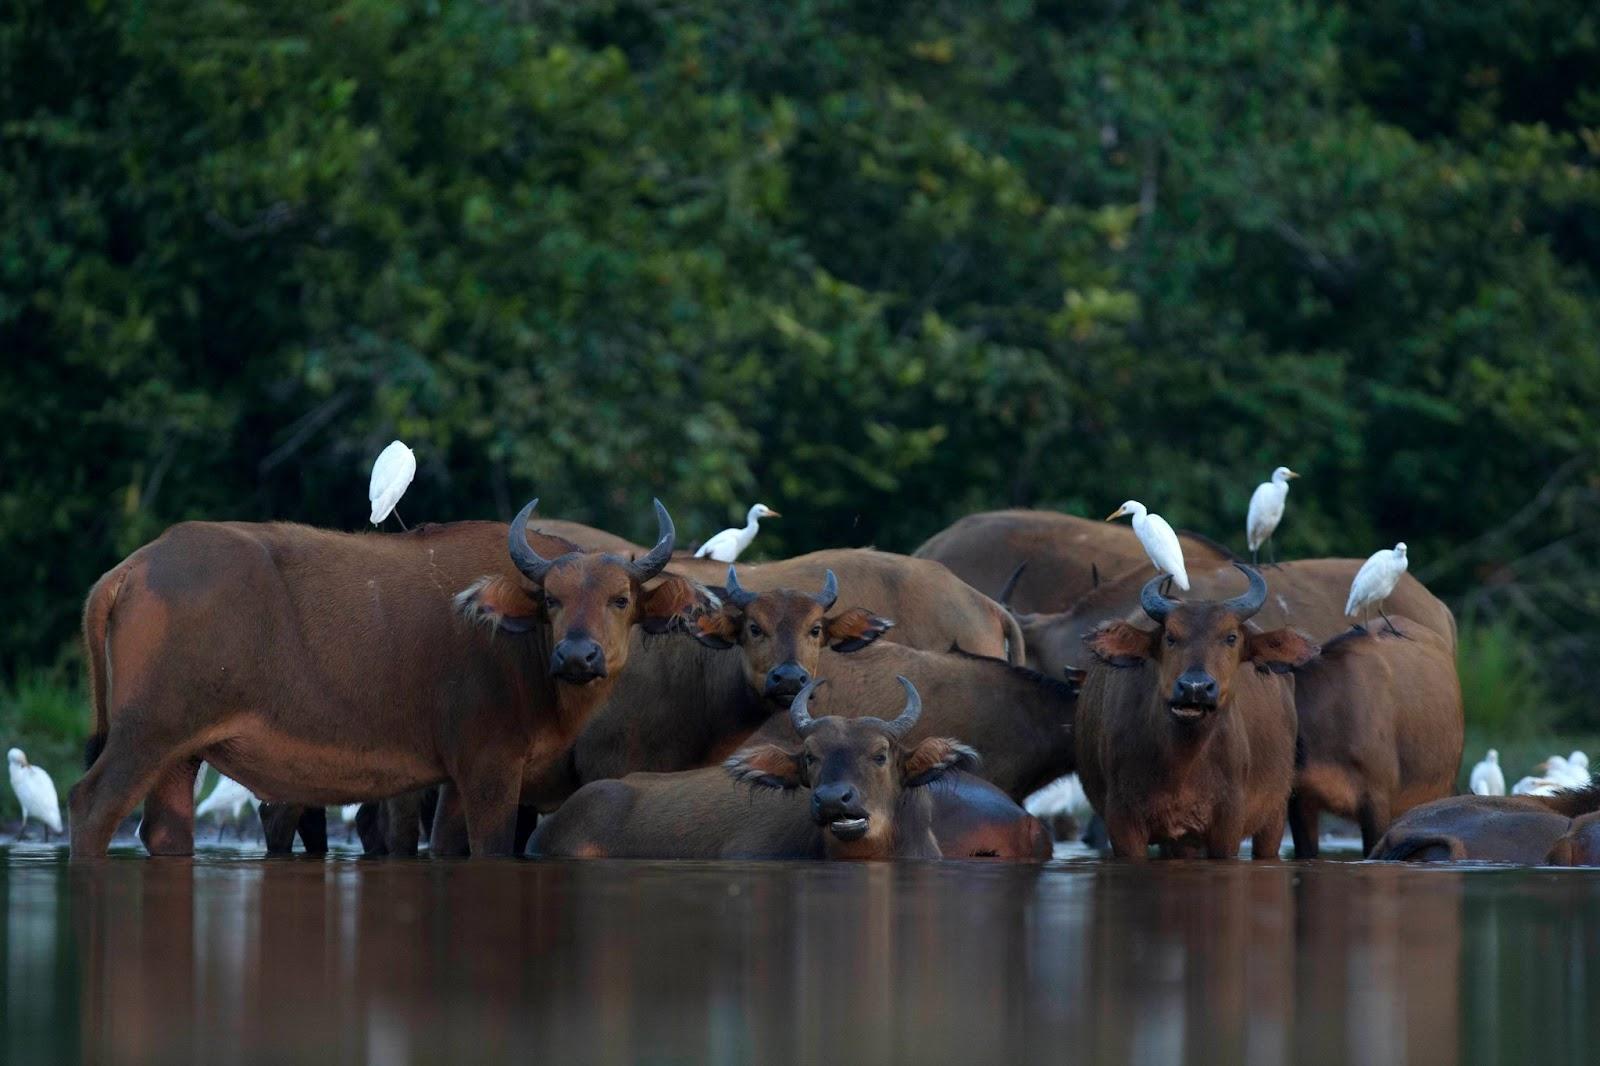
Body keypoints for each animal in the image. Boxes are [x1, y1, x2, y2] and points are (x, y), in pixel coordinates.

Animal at [68, 499, 707, 857]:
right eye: (551, 598)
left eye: (621, 599)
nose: (578, 657)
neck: (520, 645)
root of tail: (133, 568)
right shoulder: (491, 764)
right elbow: (492, 848)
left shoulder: (456, 776)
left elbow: (447, 847)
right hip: (146, 733)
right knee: (90, 805)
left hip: (181, 752)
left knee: (164, 832)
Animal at [1068, 563, 1318, 857]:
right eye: (1170, 637)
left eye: (1231, 637)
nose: (1194, 687)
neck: (1182, 762)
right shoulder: (1122, 822)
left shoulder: (1229, 825)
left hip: (1274, 815)